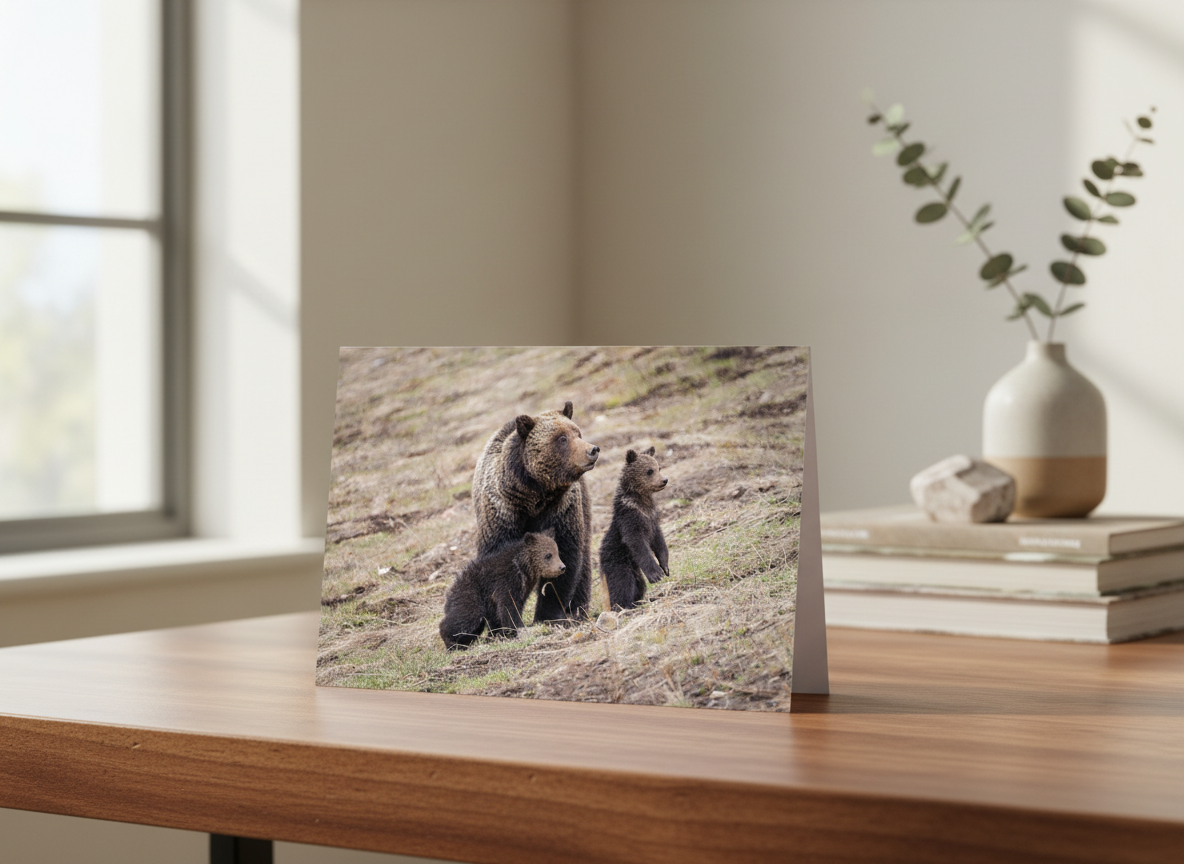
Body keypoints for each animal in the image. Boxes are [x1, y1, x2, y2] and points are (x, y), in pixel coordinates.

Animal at [439, 530, 567, 650]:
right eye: (548, 555)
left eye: (557, 552)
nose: (562, 567)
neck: (523, 567)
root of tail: (450, 591)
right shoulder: (506, 581)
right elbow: (508, 607)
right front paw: (517, 629)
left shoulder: (521, 589)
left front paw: (500, 634)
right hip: (471, 595)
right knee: (466, 617)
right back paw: (452, 643)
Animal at [471, 401, 599, 623]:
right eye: (562, 438)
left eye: (577, 433)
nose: (592, 450)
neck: (533, 497)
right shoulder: (502, 514)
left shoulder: (561, 510)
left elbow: (565, 556)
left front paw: (548, 615)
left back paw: (577, 610)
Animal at [599, 447, 670, 611]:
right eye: (649, 471)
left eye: (659, 467)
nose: (664, 480)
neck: (642, 502)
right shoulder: (630, 519)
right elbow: (638, 544)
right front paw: (656, 574)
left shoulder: (652, 519)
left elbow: (659, 541)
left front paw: (665, 567)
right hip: (617, 561)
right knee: (622, 583)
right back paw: (624, 606)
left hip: (634, 568)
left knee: (638, 585)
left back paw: (640, 600)